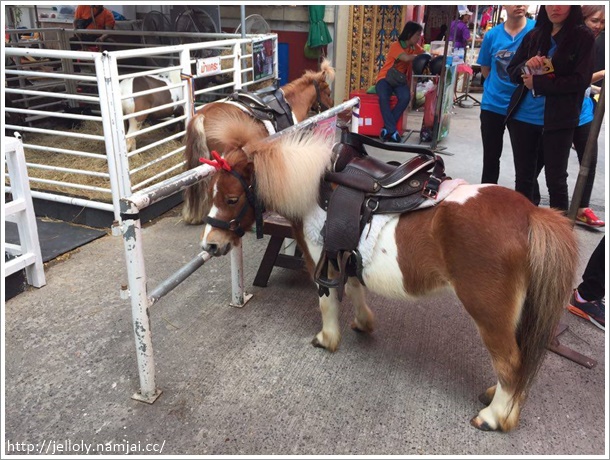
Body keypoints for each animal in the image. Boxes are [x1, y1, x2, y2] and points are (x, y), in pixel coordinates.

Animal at [198, 127, 576, 434]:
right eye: (211, 194)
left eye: (231, 198)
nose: (210, 245)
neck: (313, 188)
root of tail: (532, 215)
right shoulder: (345, 254)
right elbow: (354, 288)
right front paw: (363, 323)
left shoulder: (323, 259)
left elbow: (327, 301)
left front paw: (327, 338)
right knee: (519, 361)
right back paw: (497, 399)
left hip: (489, 314)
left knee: (510, 363)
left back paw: (495, 417)